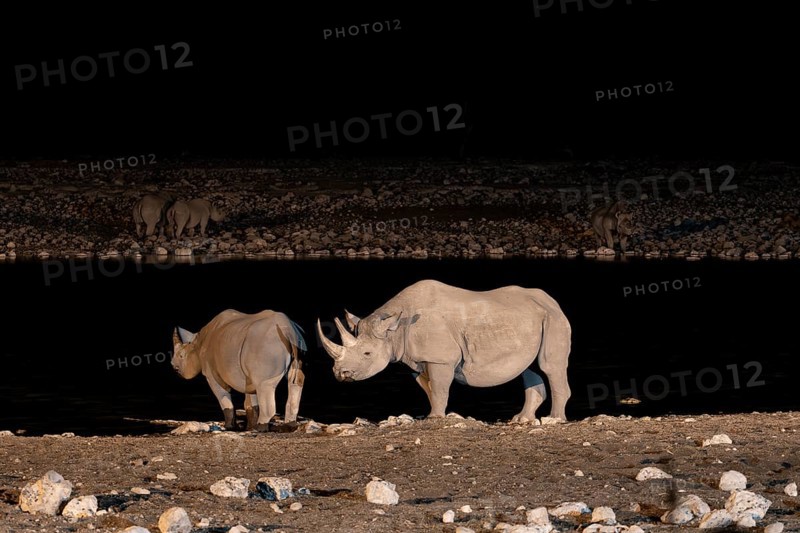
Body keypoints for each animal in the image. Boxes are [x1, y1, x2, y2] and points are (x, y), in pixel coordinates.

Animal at [172, 309, 306, 431]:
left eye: (181, 356)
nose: (173, 366)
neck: (197, 343)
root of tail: (289, 331)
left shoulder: (211, 375)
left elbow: (225, 401)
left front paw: (229, 427)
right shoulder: (249, 376)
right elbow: (251, 403)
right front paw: (250, 427)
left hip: (267, 346)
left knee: (264, 385)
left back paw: (261, 428)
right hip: (296, 341)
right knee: (294, 381)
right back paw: (289, 427)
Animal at [317, 279, 572, 422]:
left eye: (367, 354)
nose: (340, 374)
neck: (396, 329)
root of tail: (552, 302)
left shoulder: (441, 358)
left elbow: (439, 388)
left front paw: (435, 417)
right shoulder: (417, 361)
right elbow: (429, 389)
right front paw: (432, 415)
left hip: (553, 318)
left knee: (550, 366)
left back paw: (554, 419)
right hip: (533, 319)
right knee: (528, 369)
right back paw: (521, 420)